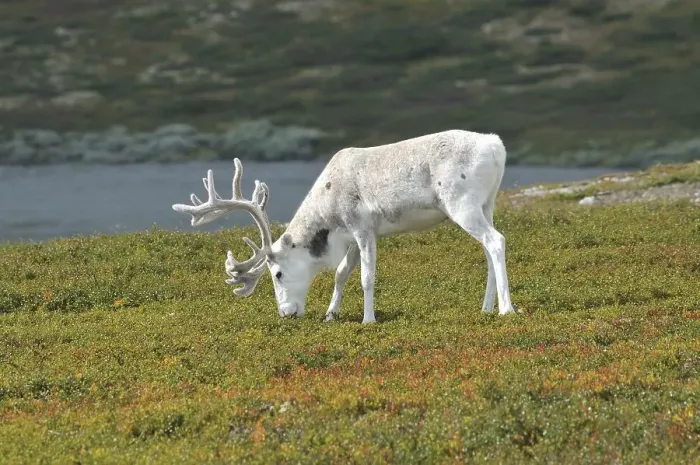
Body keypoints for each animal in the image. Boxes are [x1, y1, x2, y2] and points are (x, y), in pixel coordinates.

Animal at [172, 129, 517, 324]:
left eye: (278, 273)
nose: (286, 313)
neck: (330, 220)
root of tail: (497, 146)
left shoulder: (362, 227)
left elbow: (365, 277)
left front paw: (368, 319)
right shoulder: (350, 237)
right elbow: (340, 274)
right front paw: (330, 314)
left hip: (461, 203)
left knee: (496, 240)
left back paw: (506, 310)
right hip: (486, 203)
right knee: (488, 248)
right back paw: (487, 308)